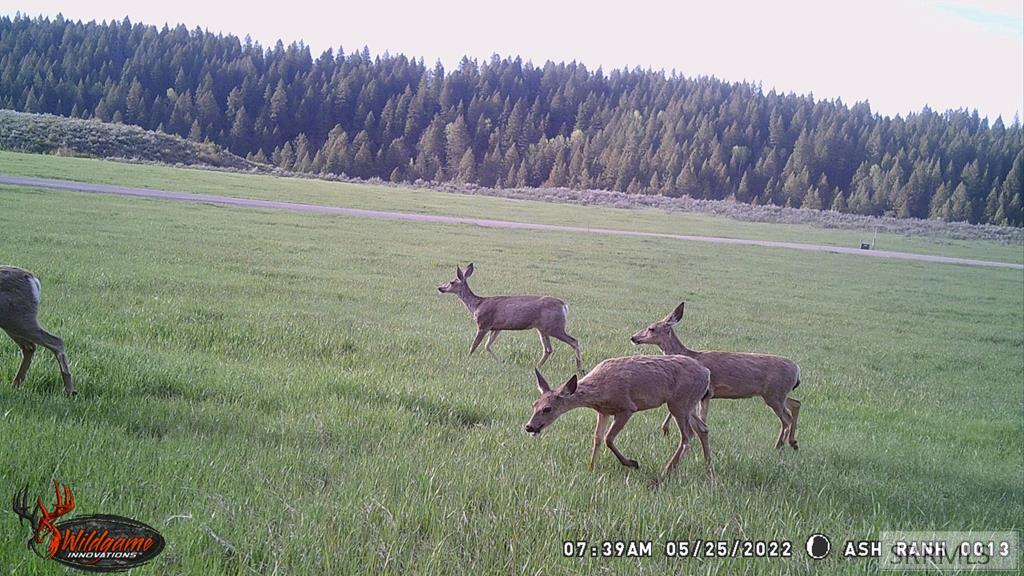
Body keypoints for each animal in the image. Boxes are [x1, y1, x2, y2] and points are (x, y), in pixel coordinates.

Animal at [438, 261, 585, 368]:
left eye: (451, 282)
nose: (440, 288)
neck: (476, 305)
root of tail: (564, 306)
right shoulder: (496, 328)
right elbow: (487, 346)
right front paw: (500, 362)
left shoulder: (483, 324)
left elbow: (474, 346)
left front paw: (467, 359)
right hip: (542, 328)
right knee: (548, 349)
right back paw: (537, 366)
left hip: (555, 326)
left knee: (574, 341)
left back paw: (579, 368)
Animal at [524, 354, 708, 475]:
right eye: (534, 404)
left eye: (547, 409)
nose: (529, 426)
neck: (599, 391)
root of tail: (706, 373)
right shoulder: (603, 411)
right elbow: (597, 438)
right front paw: (591, 468)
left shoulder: (627, 407)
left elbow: (608, 438)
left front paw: (632, 463)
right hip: (688, 404)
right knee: (702, 429)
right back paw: (708, 467)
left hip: (679, 402)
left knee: (686, 437)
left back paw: (666, 471)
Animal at [626, 301, 802, 448]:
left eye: (651, 328)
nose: (634, 338)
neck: (690, 354)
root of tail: (797, 370)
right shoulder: (702, 395)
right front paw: (666, 430)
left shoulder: (707, 392)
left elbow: (700, 418)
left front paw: (668, 431)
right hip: (777, 393)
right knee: (796, 404)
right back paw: (792, 442)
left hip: (774, 394)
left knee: (786, 417)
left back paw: (779, 446)